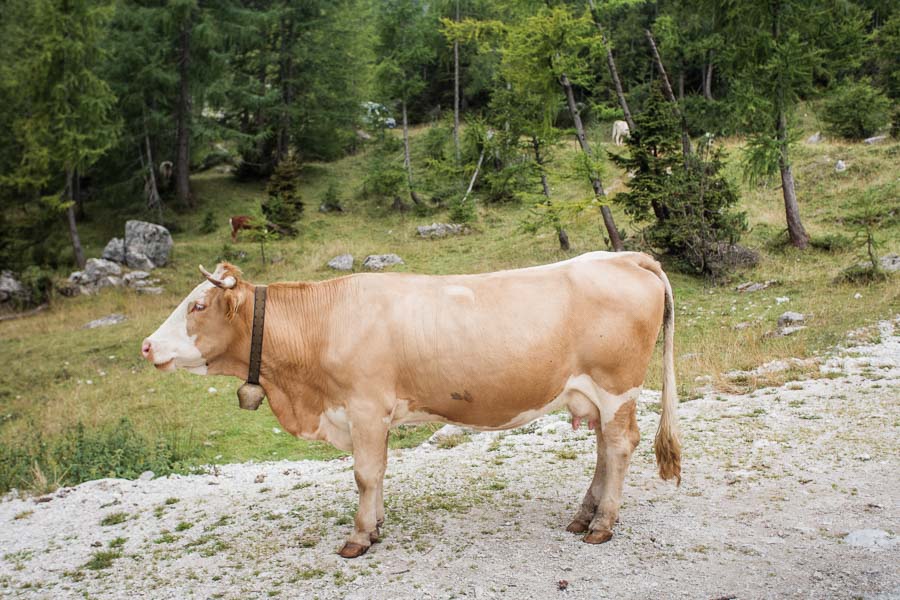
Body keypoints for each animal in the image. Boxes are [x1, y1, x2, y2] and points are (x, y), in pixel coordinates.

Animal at [144, 252, 684, 556]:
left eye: (197, 305)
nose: (147, 346)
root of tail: (625, 256)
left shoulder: (364, 407)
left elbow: (365, 473)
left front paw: (360, 537)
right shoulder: (370, 415)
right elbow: (377, 472)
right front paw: (377, 524)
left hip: (617, 386)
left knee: (620, 446)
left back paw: (603, 525)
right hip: (593, 394)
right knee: (604, 449)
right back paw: (583, 516)